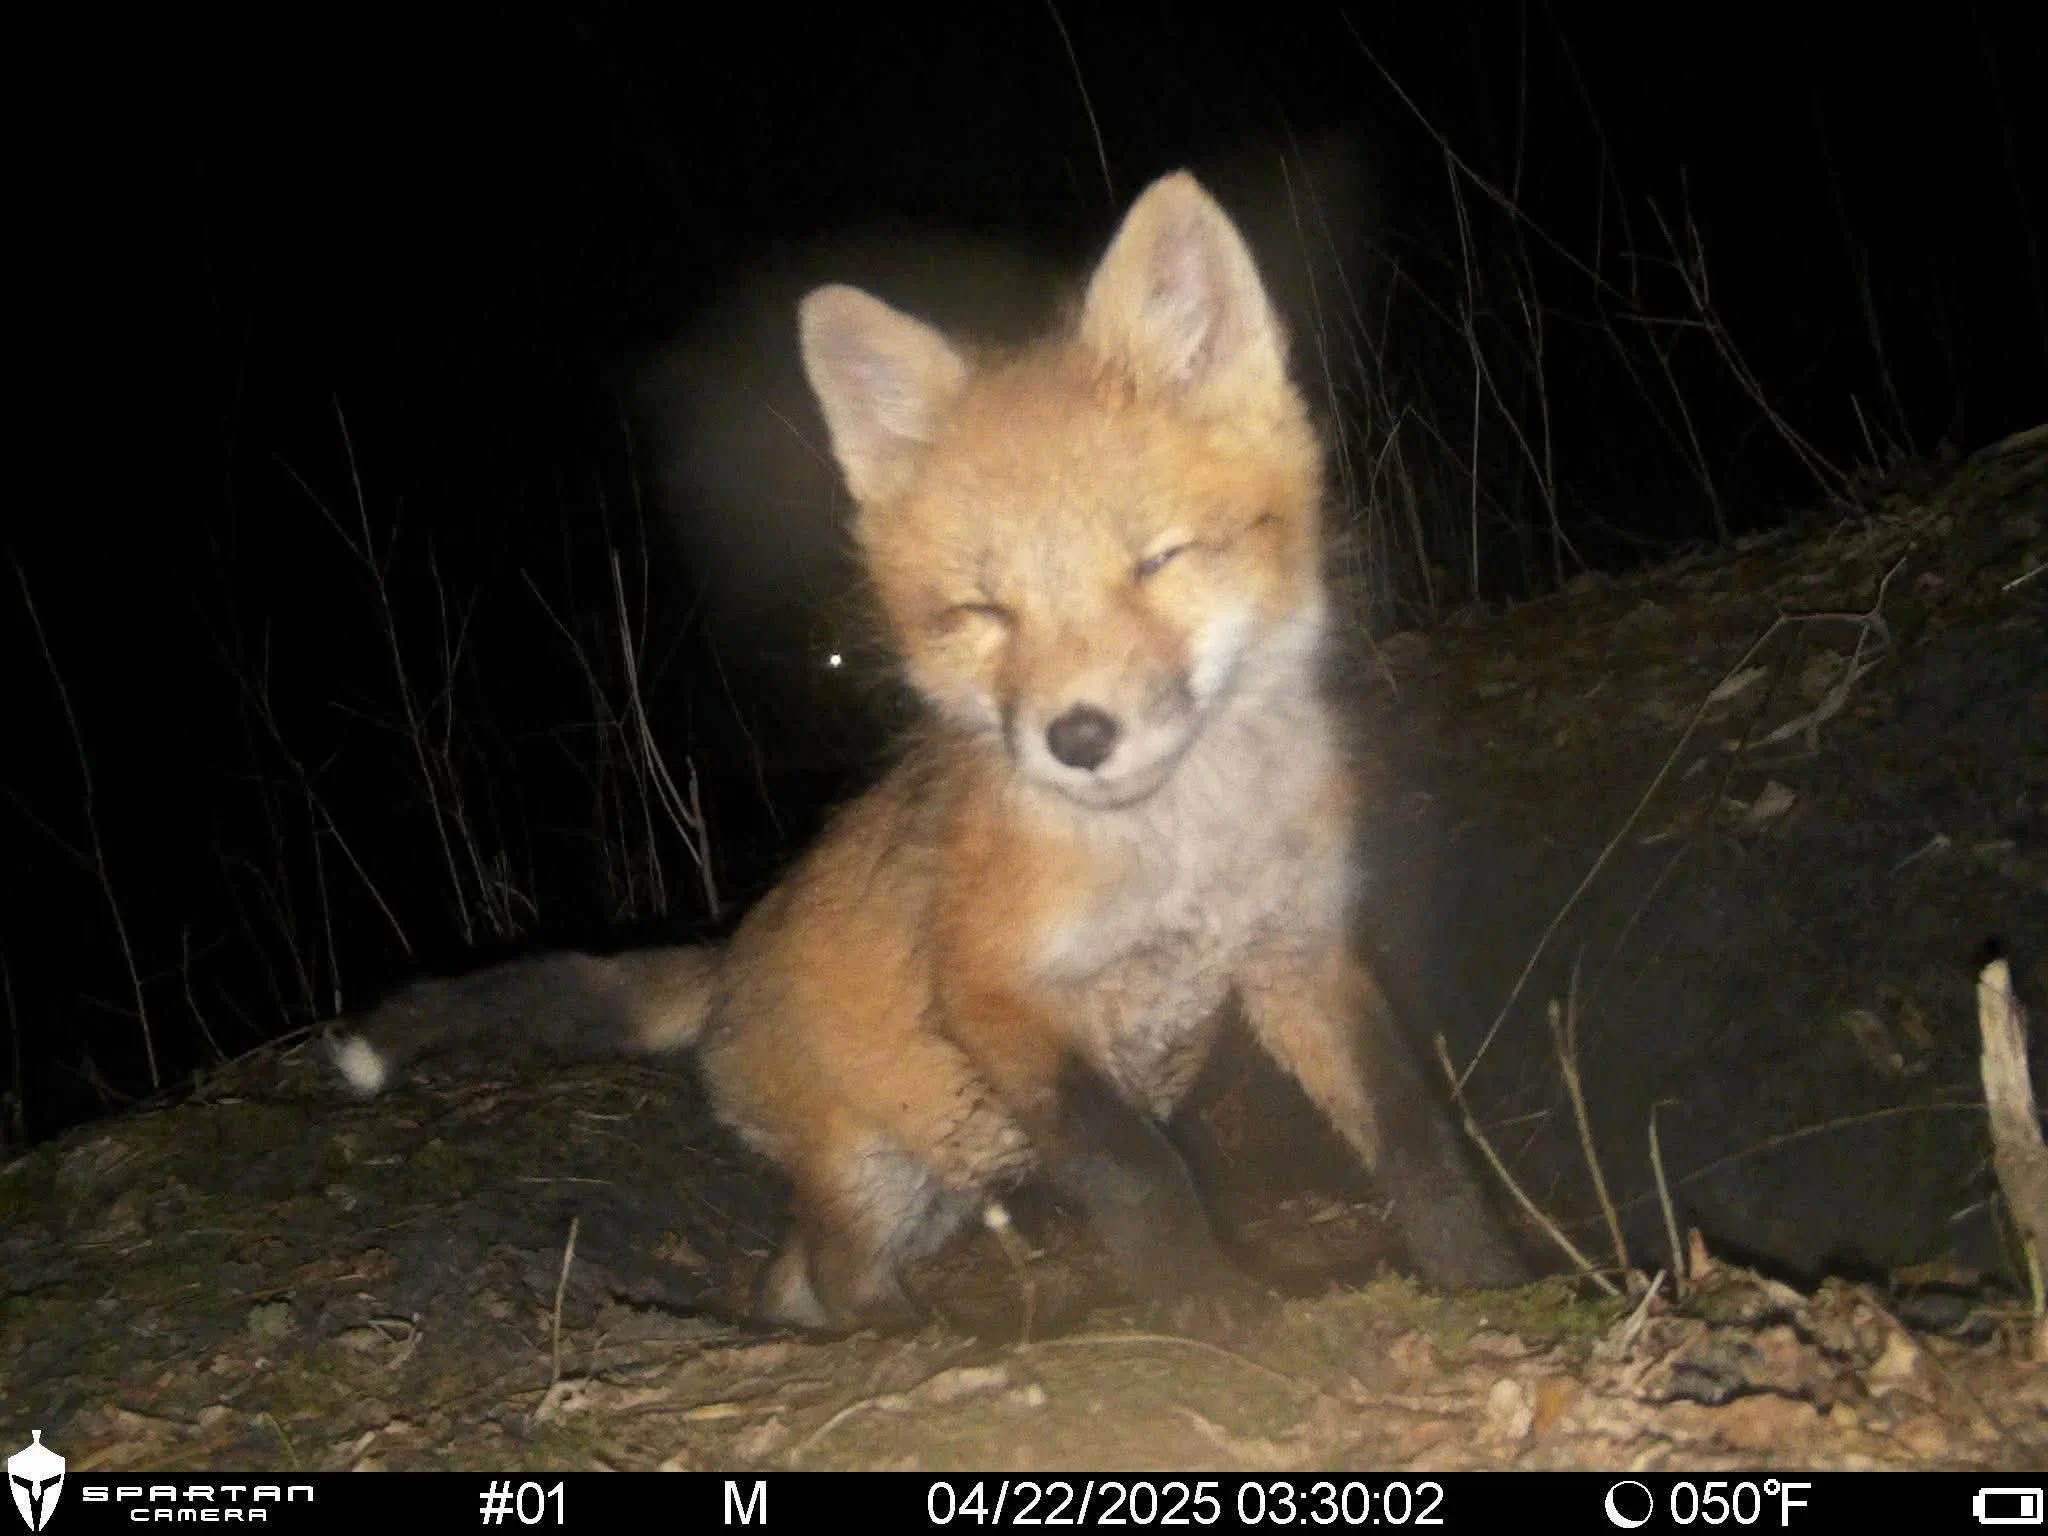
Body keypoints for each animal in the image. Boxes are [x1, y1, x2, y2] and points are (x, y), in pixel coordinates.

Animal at [331, 171, 1527, 1331]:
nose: (1077, 737)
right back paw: (908, 1340)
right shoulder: (993, 993)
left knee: (792, 1280)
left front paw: (1485, 1277)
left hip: (947, 1172)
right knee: (820, 1281)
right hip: (891, 1166)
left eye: (1156, 561)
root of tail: (730, 957)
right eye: (982, 611)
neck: (1180, 856)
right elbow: (1137, 1175)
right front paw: (1214, 1311)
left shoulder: (1300, 954)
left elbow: (1413, 1135)